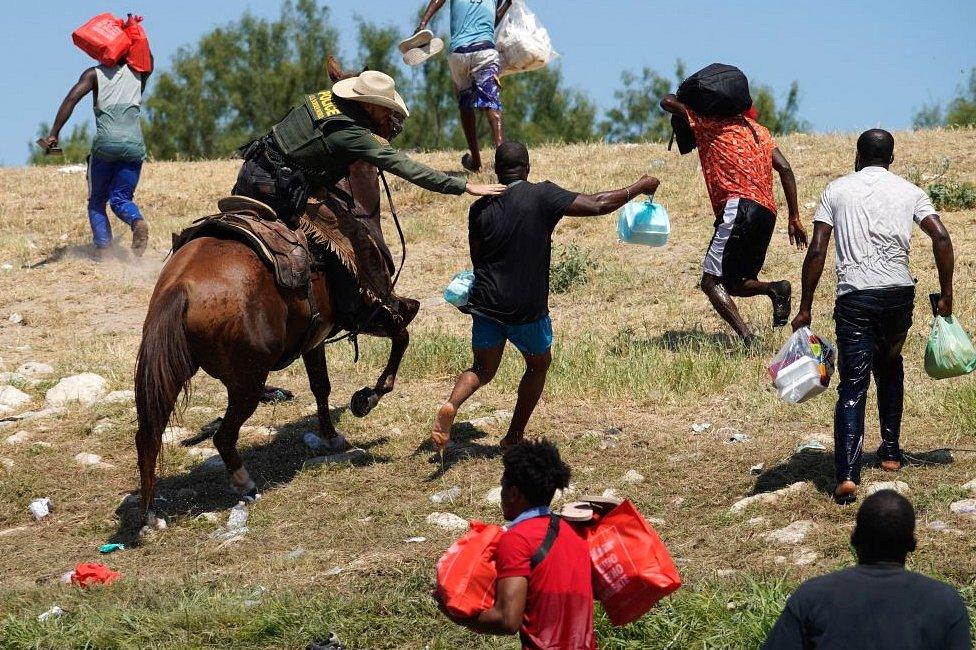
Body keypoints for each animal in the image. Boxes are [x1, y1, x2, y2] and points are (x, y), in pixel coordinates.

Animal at [133, 58, 412, 528]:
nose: (398, 122)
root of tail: (180, 288)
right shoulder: (370, 308)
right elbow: (402, 333)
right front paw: (366, 398)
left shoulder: (315, 337)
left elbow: (321, 386)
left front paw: (331, 435)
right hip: (248, 379)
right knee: (225, 435)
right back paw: (244, 483)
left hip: (173, 368)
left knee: (147, 433)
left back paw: (151, 511)